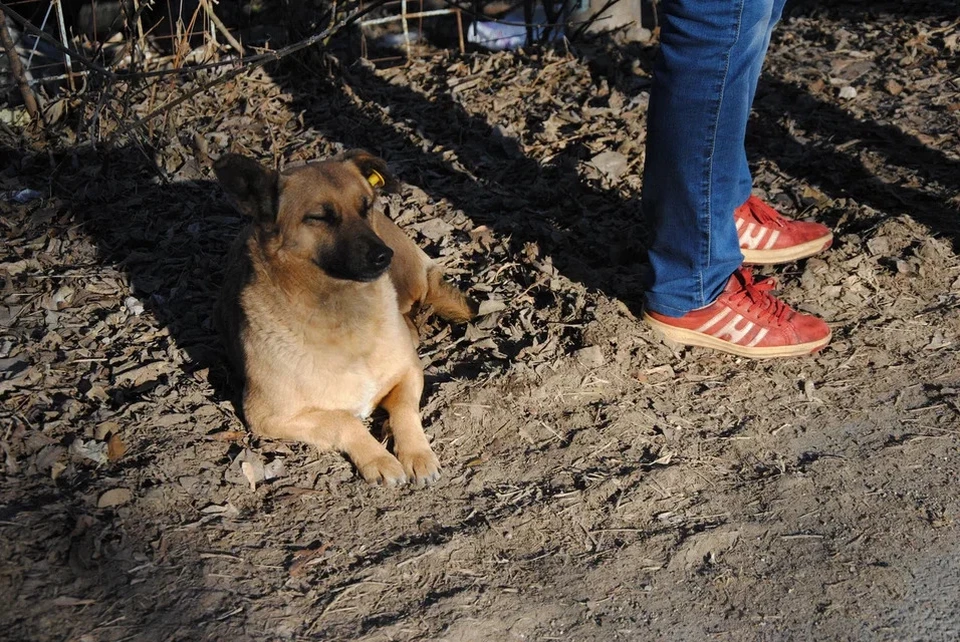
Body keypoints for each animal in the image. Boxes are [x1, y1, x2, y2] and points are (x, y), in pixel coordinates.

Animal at [214, 148, 476, 482]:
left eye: (366, 206)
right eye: (319, 217)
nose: (383, 256)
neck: (342, 309)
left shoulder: (409, 372)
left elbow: (405, 410)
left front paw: (417, 453)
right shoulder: (269, 417)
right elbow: (344, 420)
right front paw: (379, 459)